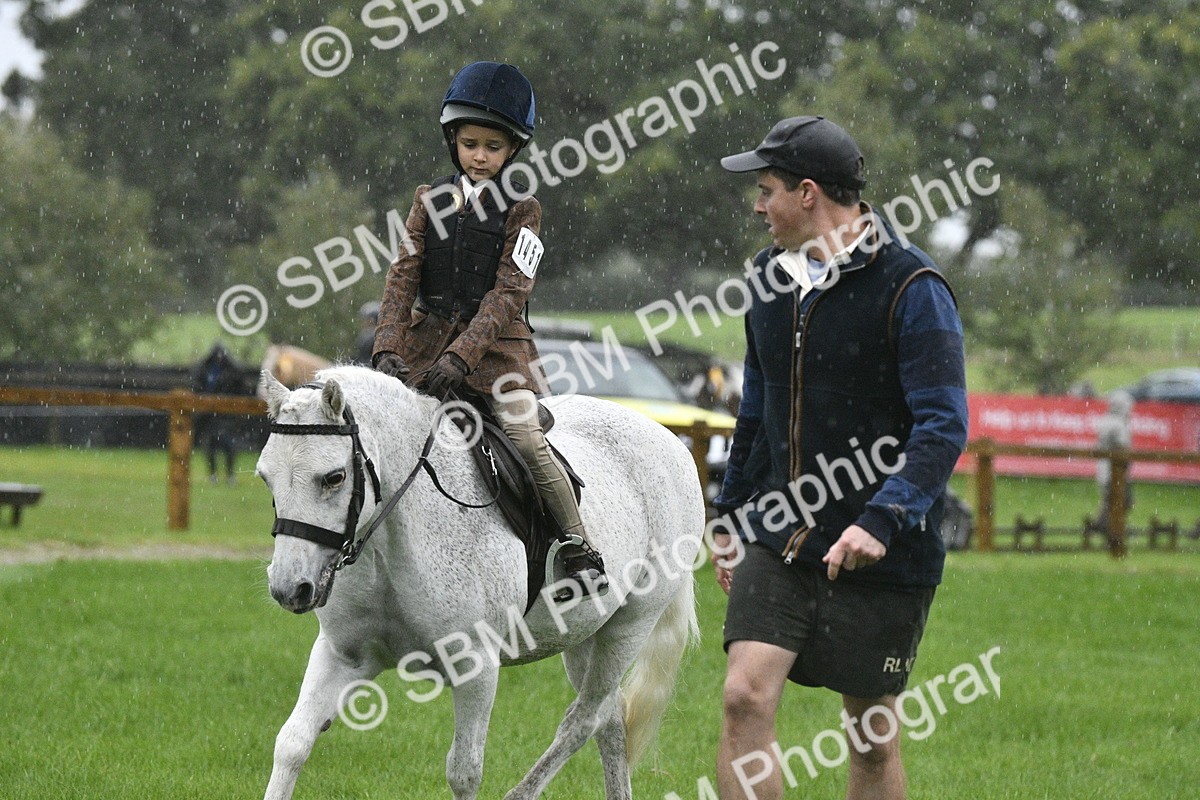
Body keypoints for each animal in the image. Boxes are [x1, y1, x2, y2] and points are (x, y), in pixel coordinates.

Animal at [258, 365, 704, 799]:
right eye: (265, 477)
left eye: (333, 477)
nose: (288, 588)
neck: (390, 545)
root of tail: (670, 441)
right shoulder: (343, 656)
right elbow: (292, 742)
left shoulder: (475, 667)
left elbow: (464, 772)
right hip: (583, 634)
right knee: (608, 720)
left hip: (628, 628)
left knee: (585, 718)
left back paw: (521, 793)